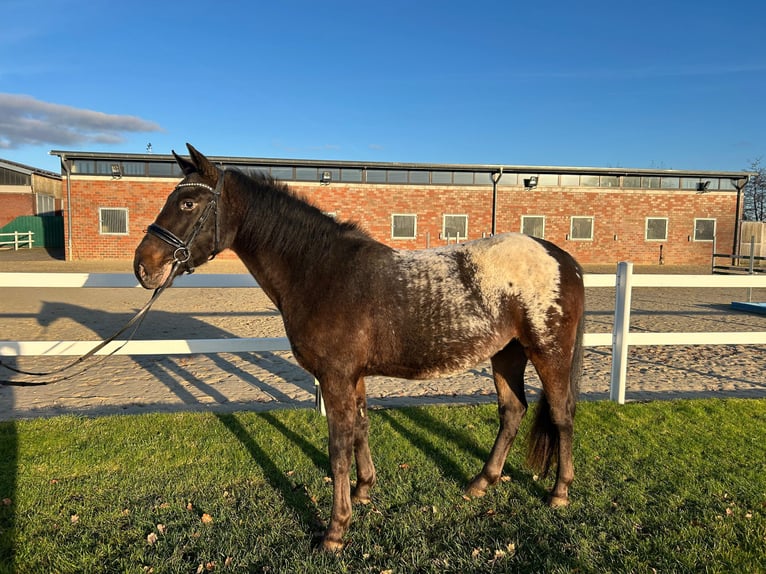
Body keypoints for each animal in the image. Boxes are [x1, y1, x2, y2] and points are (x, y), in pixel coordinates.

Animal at [134, 144, 588, 552]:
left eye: (188, 202)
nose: (143, 265)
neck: (321, 271)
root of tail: (563, 258)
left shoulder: (335, 378)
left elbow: (337, 449)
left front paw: (335, 531)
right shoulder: (353, 377)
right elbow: (361, 428)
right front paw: (363, 491)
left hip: (548, 353)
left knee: (561, 415)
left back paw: (559, 492)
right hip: (506, 354)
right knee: (513, 411)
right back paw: (481, 483)